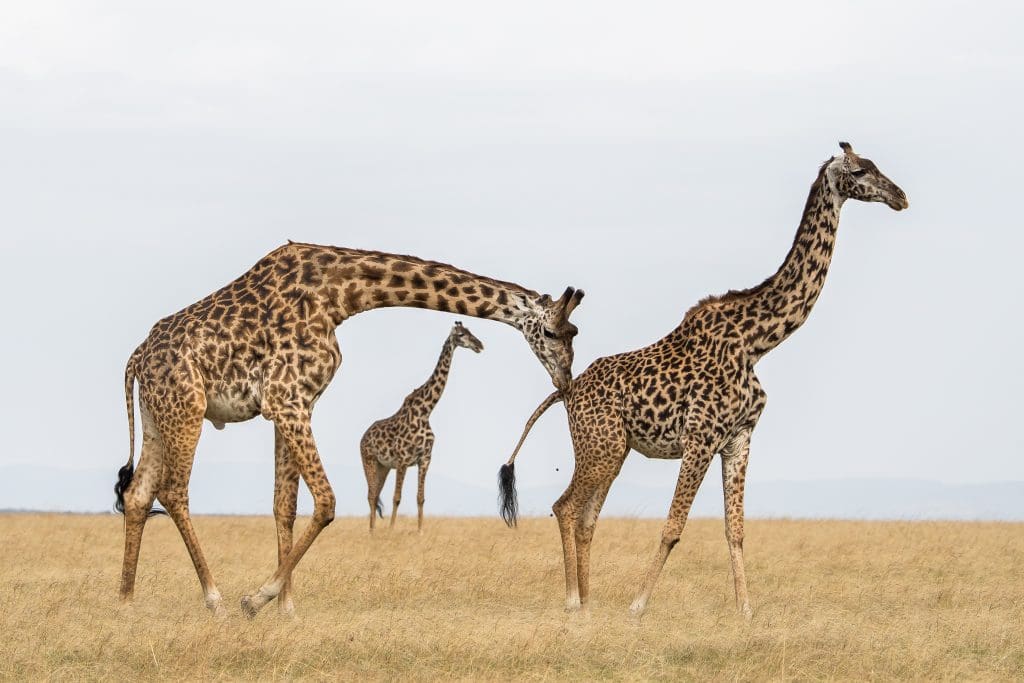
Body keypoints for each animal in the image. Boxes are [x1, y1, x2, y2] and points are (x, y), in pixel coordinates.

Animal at [362, 321, 485, 532]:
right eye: (461, 334)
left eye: (471, 331)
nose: (480, 345)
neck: (425, 411)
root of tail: (362, 436)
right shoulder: (402, 460)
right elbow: (397, 498)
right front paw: (392, 530)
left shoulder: (425, 459)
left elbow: (420, 498)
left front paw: (420, 531)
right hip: (368, 460)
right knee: (371, 496)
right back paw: (371, 532)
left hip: (383, 466)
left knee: (375, 495)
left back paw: (373, 530)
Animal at [499, 143, 909, 618]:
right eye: (860, 171)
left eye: (878, 166)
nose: (900, 196)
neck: (757, 341)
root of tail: (565, 392)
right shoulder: (700, 436)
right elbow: (673, 527)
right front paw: (638, 606)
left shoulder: (739, 437)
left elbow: (736, 530)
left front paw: (745, 611)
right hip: (599, 447)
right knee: (564, 507)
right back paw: (572, 602)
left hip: (614, 450)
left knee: (586, 517)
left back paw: (587, 601)